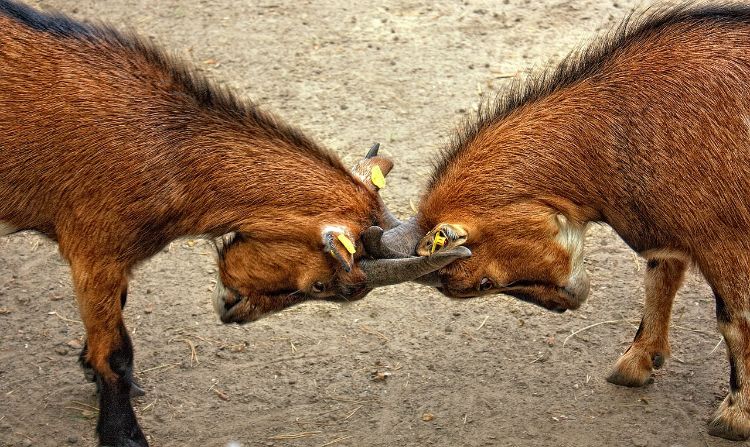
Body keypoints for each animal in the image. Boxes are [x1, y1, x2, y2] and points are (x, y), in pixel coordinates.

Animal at [0, 1, 470, 446]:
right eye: (327, 287)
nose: (231, 313)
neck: (168, 149)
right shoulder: (94, 252)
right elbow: (114, 353)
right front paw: (124, 435)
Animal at [368, 3, 750, 442]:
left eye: (483, 283)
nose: (564, 304)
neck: (616, 125)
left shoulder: (723, 238)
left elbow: (734, 320)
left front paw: (735, 416)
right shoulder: (667, 231)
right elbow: (659, 281)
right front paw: (635, 363)